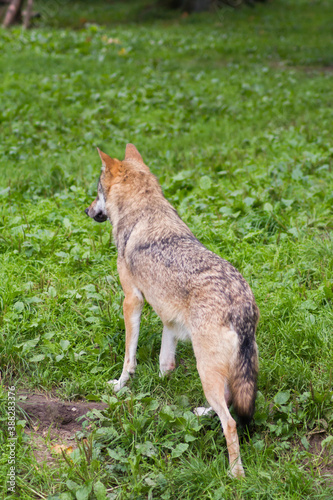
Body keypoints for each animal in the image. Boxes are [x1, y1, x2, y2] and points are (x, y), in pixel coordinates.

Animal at [84, 144, 258, 476]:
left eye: (96, 191)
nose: (86, 211)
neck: (144, 210)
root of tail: (242, 306)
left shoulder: (132, 300)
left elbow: (129, 358)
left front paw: (120, 386)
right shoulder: (170, 321)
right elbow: (166, 363)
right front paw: (160, 385)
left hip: (207, 370)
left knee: (230, 422)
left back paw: (236, 475)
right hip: (223, 372)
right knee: (228, 401)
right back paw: (202, 413)